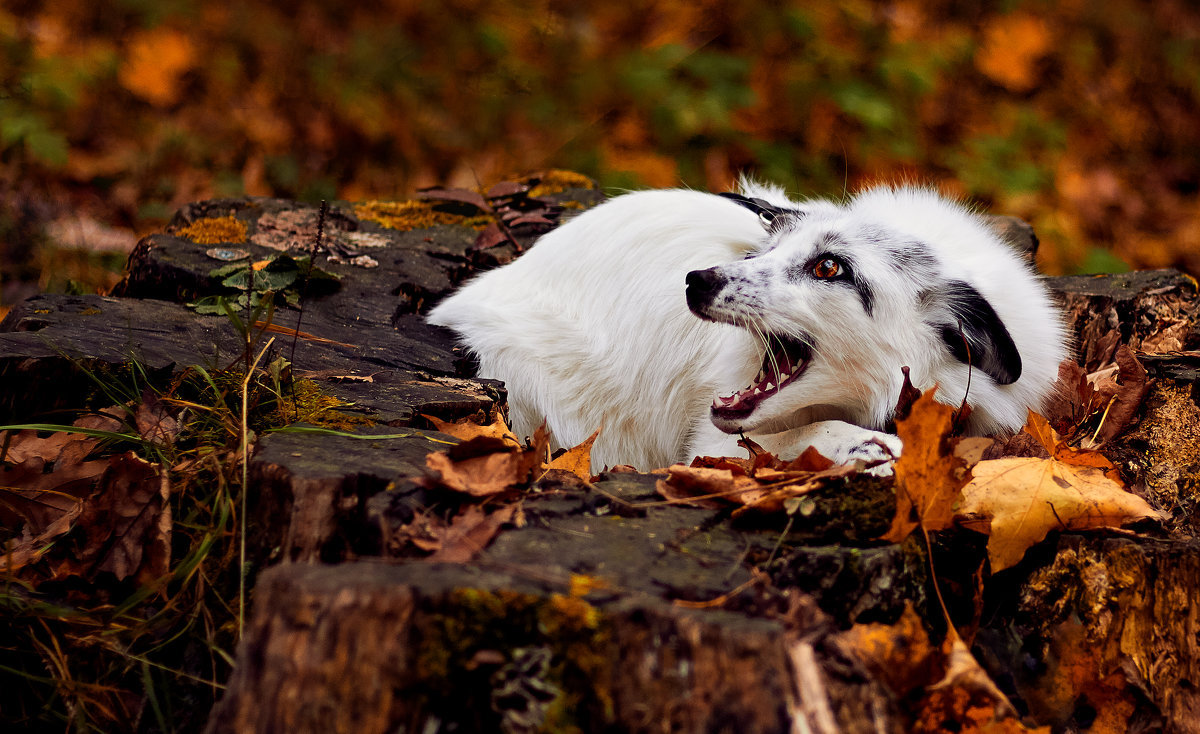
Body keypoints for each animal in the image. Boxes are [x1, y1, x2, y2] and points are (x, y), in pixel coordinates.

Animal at [427, 183, 1065, 470]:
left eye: (829, 267)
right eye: (767, 252)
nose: (696, 280)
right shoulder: (708, 447)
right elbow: (794, 437)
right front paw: (866, 445)